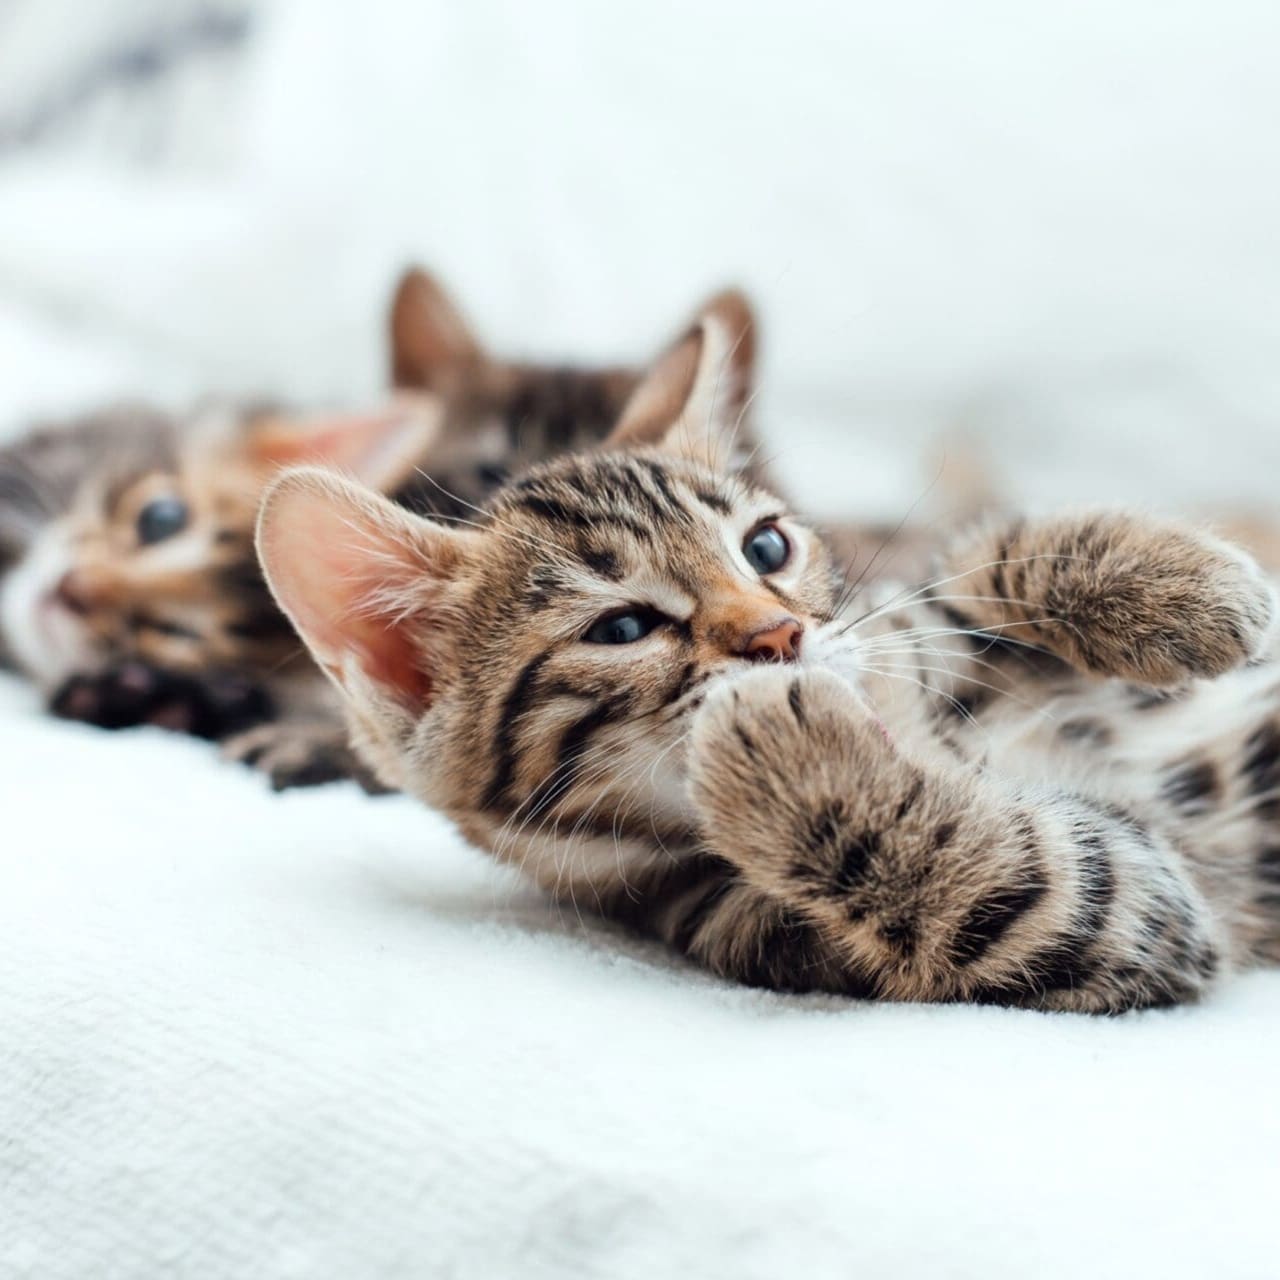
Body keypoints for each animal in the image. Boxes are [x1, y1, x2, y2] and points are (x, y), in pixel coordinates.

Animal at [254, 296, 1280, 1008]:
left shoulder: (904, 618)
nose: (778, 636)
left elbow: (971, 564)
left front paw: (1191, 588)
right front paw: (797, 760)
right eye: (621, 629)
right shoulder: (1127, 916)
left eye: (767, 547)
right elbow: (1021, 884)